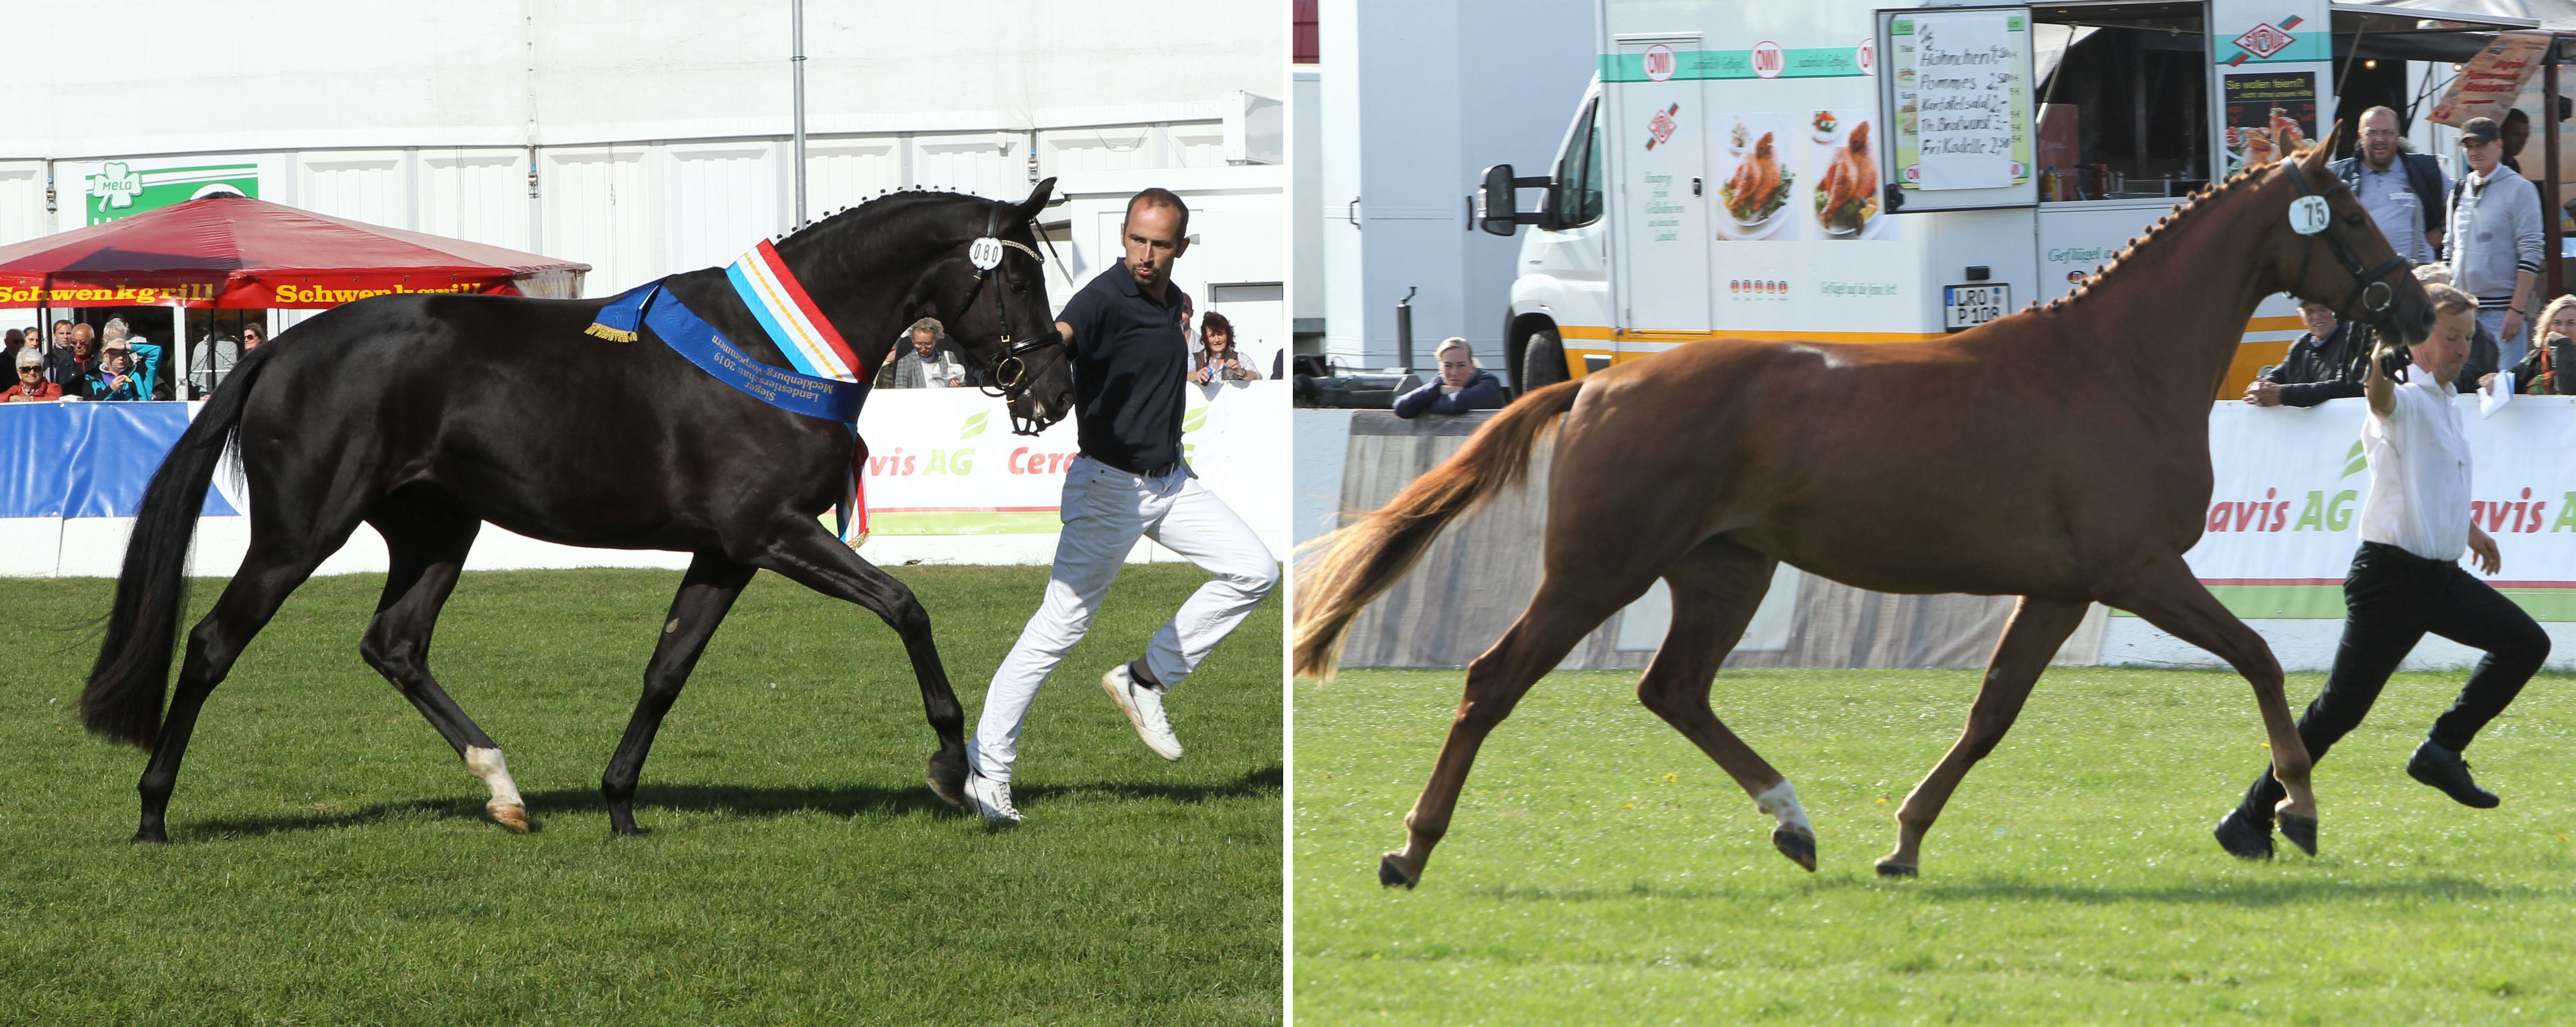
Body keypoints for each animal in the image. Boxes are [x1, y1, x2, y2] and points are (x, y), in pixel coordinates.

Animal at [78, 182, 1066, 844]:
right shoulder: (773, 532)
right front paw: (953, 767)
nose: (1051, 390)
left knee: (396, 645)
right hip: (299, 533)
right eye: (1020, 283)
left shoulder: (729, 551)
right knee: (214, 643)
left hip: (438, 531)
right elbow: (906, 607)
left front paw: (621, 801)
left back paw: (503, 789)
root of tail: (280, 352)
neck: (772, 347)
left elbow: (667, 669)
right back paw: (153, 810)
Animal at [1308, 131, 2432, 885]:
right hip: (1599, 570)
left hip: (1724, 571)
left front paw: (1903, 840)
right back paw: (1411, 849)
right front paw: (2298, 811)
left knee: (1674, 690)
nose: (2420, 309)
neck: (2117, 368)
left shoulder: (2062, 590)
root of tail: (1595, 386)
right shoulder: (2139, 570)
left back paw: (1794, 822)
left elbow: (1990, 713)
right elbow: (2259, 657)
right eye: (2354, 214)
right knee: (1494, 680)